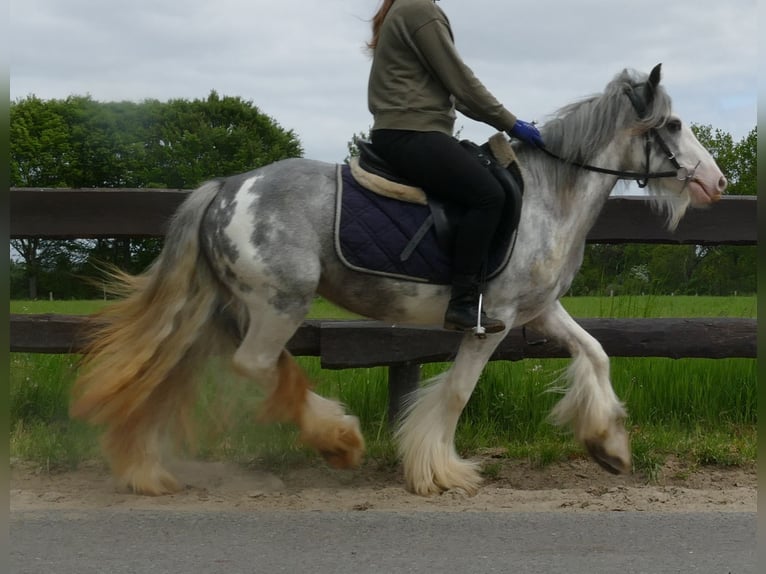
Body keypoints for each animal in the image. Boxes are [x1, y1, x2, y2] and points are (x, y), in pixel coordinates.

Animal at [70, 65, 728, 500]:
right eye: (673, 123)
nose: (716, 182)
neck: (549, 196)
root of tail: (226, 187)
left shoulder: (540, 312)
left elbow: (596, 353)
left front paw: (609, 446)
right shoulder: (493, 320)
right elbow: (457, 393)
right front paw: (439, 471)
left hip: (221, 308)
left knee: (174, 374)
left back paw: (148, 468)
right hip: (280, 302)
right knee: (253, 365)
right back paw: (338, 438)